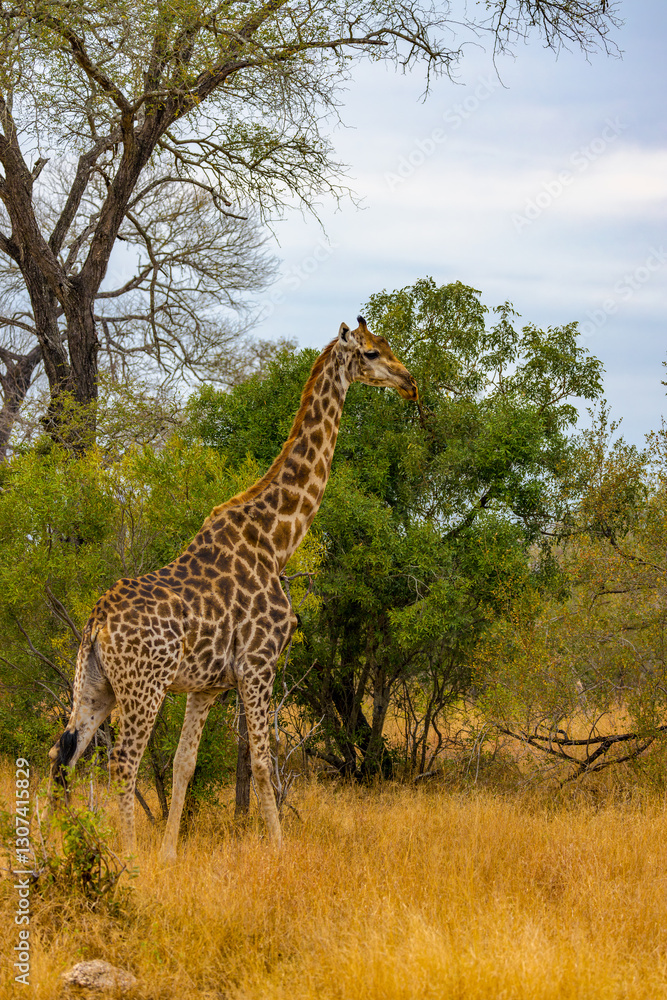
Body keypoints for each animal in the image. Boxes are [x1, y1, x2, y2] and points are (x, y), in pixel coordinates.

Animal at [48, 316, 418, 860]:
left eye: (388, 345)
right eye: (370, 353)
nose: (410, 382)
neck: (277, 538)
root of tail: (96, 623)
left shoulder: (207, 685)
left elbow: (184, 766)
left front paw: (170, 855)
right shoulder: (259, 664)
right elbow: (264, 763)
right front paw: (279, 851)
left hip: (95, 686)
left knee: (63, 753)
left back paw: (55, 853)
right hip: (144, 687)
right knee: (123, 764)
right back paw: (125, 858)